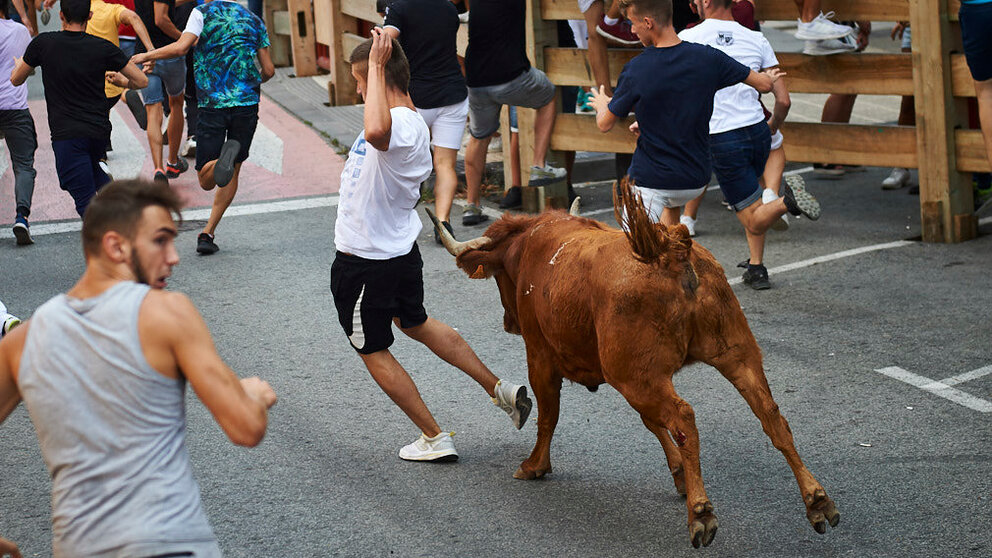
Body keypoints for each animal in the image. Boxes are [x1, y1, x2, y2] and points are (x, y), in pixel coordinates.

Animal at [426, 182, 836, 548]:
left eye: (499, 277)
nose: (508, 322)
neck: (533, 245)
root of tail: (669, 249)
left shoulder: (541, 357)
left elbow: (548, 416)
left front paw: (534, 465)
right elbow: (651, 423)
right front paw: (679, 475)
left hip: (638, 376)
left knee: (684, 418)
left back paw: (701, 514)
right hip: (734, 354)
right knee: (770, 415)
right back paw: (817, 501)